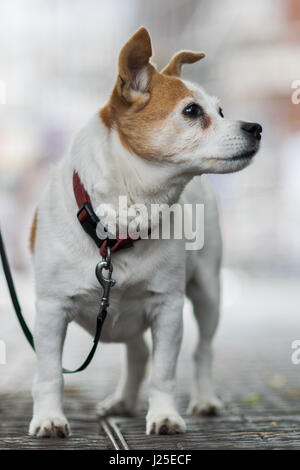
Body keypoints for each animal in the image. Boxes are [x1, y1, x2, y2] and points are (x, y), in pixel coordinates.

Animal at [28, 26, 262, 436]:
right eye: (192, 111)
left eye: (221, 111)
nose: (256, 127)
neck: (119, 230)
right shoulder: (51, 312)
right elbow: (50, 373)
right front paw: (49, 418)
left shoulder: (167, 309)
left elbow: (164, 372)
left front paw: (165, 415)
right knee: (138, 352)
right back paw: (122, 400)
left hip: (208, 293)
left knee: (202, 350)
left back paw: (205, 400)